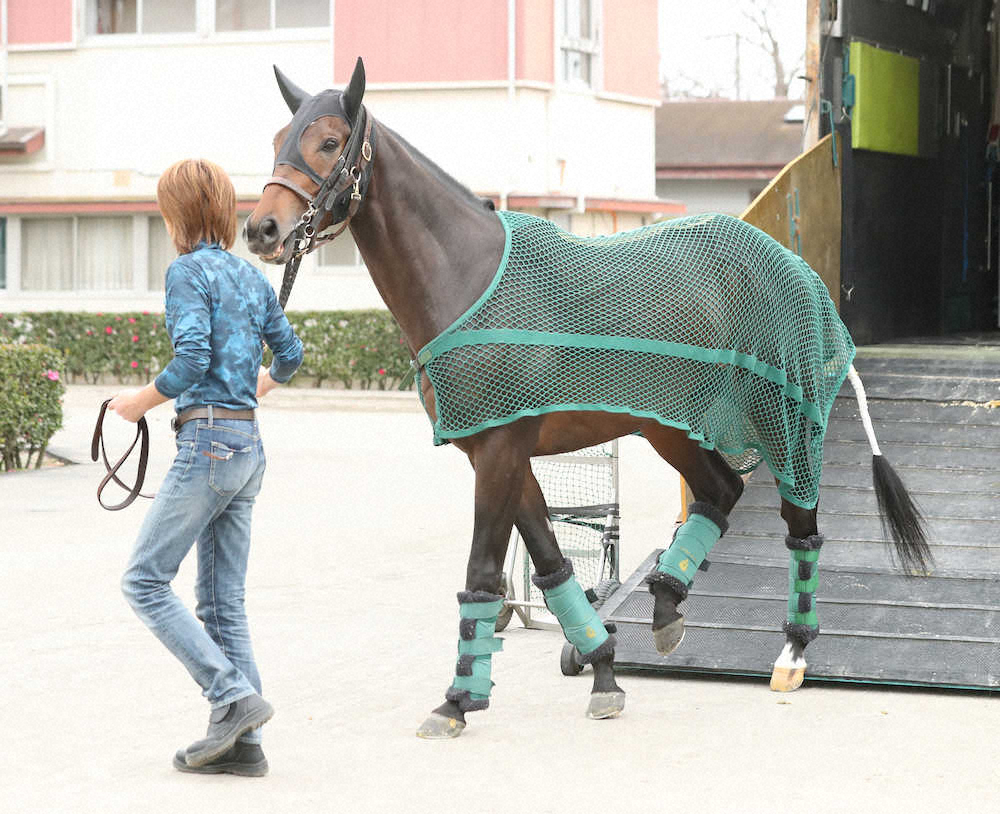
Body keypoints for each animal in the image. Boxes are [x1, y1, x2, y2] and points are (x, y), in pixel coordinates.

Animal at [245, 58, 931, 739]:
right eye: (278, 139)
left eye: (329, 141)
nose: (261, 228)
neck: (468, 279)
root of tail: (791, 264)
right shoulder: (500, 451)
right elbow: (551, 565)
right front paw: (602, 669)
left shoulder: (500, 450)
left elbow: (482, 573)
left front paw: (458, 700)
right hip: (669, 424)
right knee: (722, 492)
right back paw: (665, 603)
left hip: (778, 417)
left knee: (800, 523)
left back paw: (792, 649)